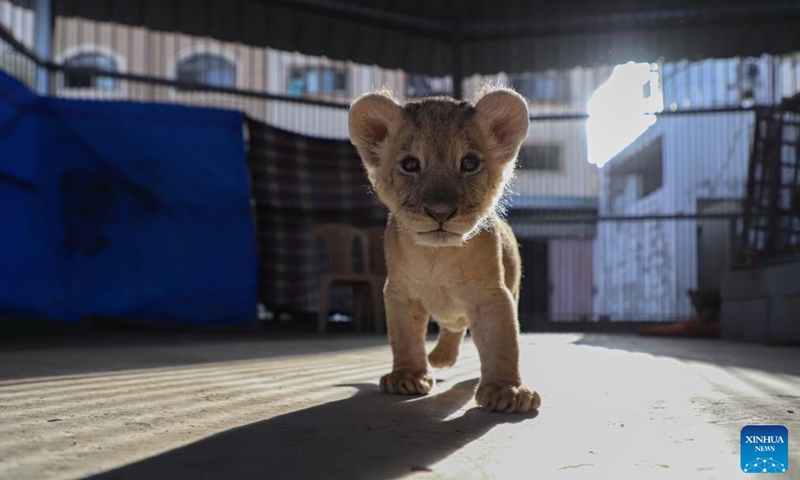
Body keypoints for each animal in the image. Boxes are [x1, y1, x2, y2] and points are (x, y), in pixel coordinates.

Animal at [348, 86, 541, 413]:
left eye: (469, 163)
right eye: (410, 165)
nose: (440, 212)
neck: (437, 256)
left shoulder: (492, 294)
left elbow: (502, 341)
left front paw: (507, 391)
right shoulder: (399, 291)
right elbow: (404, 336)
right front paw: (407, 377)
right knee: (452, 327)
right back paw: (440, 357)